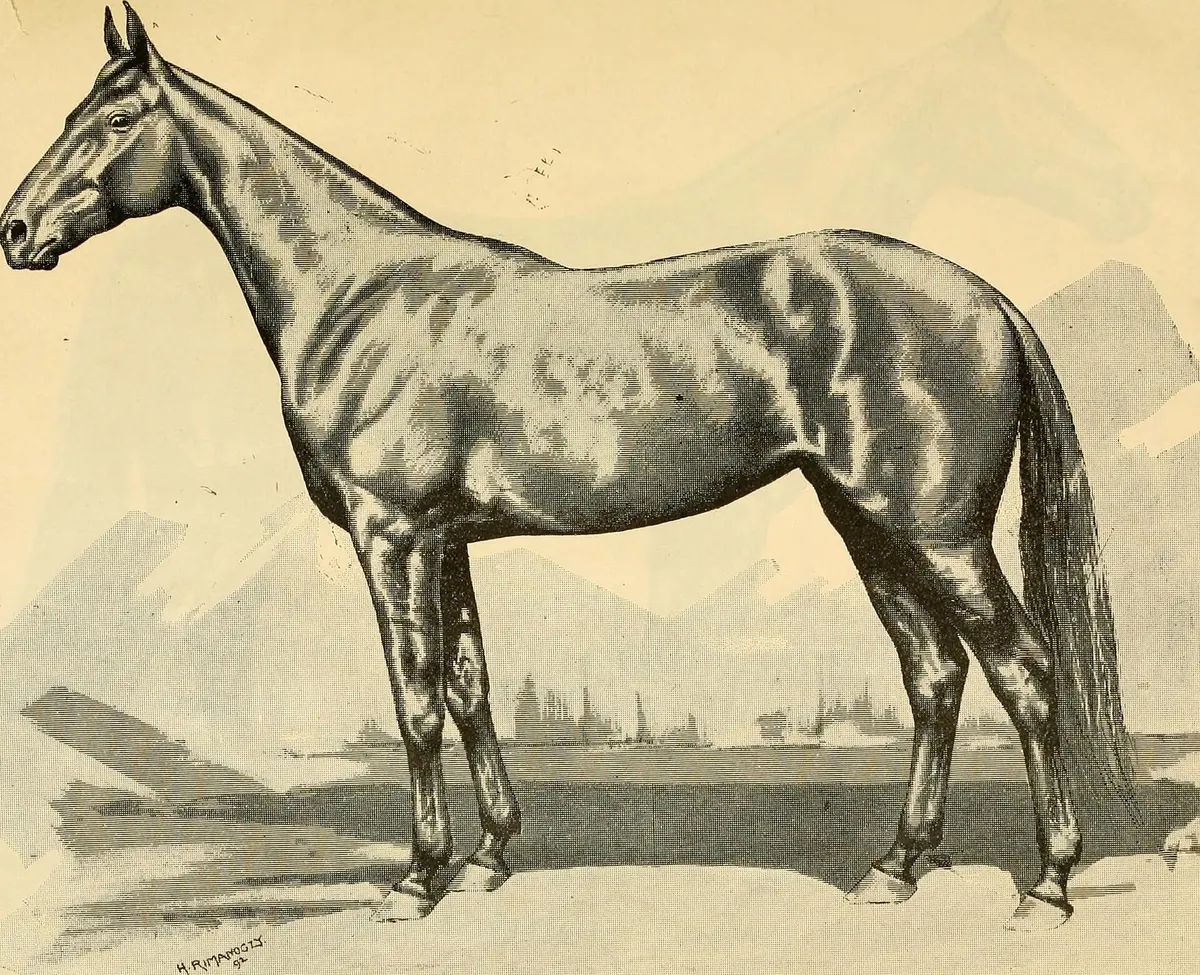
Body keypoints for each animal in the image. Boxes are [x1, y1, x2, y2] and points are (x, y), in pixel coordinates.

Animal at [2, 5, 1137, 931]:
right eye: (73, 110)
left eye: (113, 120)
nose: (16, 230)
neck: (362, 294)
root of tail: (986, 299)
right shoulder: (447, 541)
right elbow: (469, 688)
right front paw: (493, 854)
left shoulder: (393, 535)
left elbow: (415, 701)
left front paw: (418, 877)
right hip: (868, 525)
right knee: (936, 677)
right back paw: (898, 865)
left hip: (936, 534)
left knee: (1025, 669)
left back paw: (1048, 881)